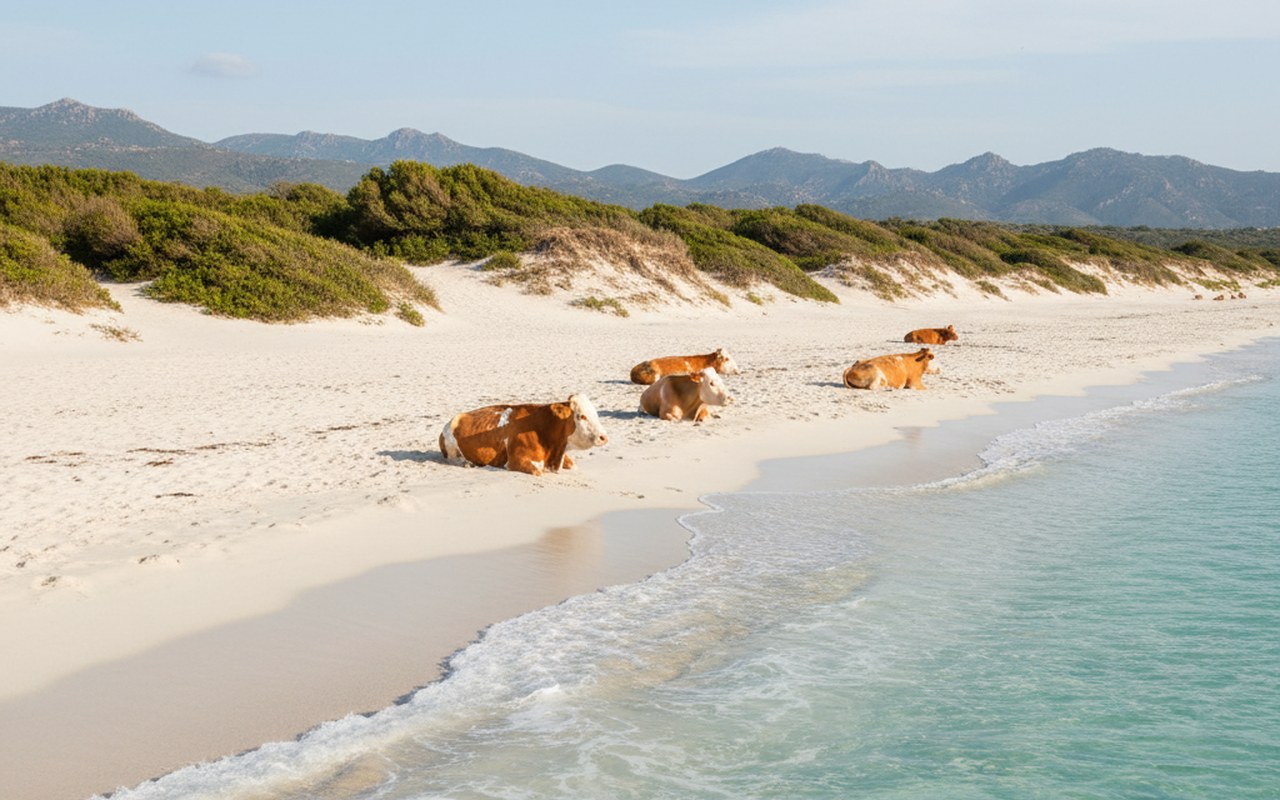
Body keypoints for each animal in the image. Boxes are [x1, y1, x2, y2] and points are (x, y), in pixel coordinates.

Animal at [439, 394, 608, 475]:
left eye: (595, 413)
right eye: (582, 416)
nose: (603, 437)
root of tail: (454, 419)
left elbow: (573, 465)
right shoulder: (515, 461)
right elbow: (537, 471)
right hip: (451, 449)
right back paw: (466, 463)